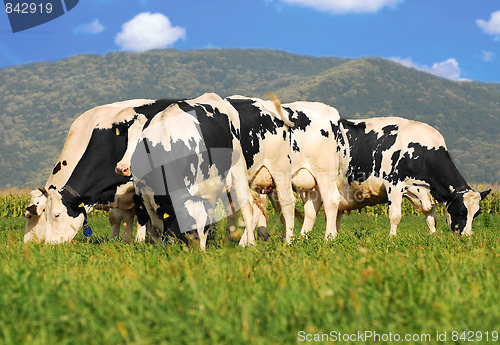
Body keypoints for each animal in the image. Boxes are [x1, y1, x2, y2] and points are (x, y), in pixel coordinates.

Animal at [41, 98, 182, 242]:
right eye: (44, 214)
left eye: (57, 215)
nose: (48, 244)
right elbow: (120, 217)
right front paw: (120, 240)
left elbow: (142, 216)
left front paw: (140, 240)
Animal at [116, 92, 258, 249]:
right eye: (187, 228)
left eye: (203, 228)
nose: (199, 252)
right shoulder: (145, 192)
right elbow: (158, 226)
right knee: (231, 209)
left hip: (237, 169)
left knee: (247, 207)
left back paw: (250, 243)